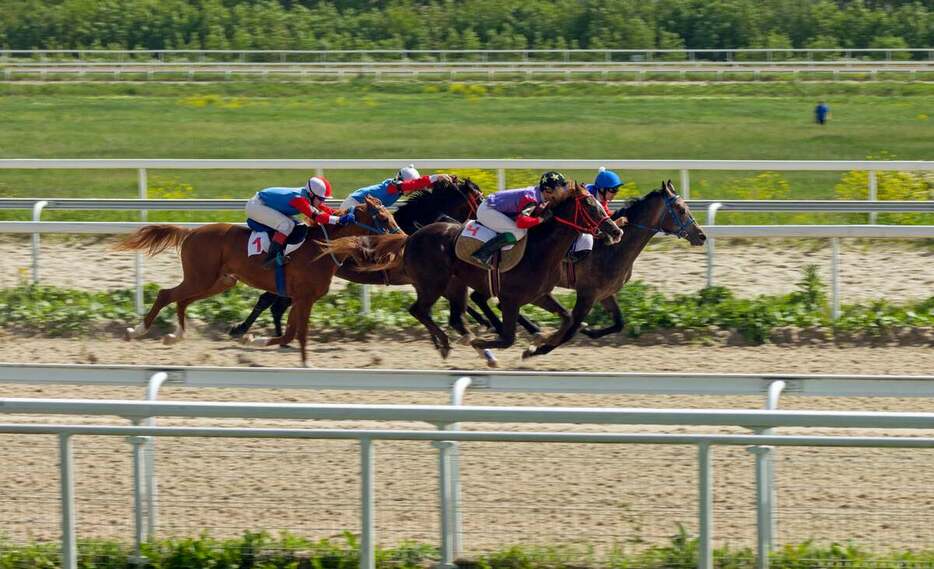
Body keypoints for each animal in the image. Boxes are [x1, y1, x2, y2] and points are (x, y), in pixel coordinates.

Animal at [117, 193, 398, 366]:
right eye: (384, 218)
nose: (402, 237)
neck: (321, 247)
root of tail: (191, 232)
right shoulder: (304, 297)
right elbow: (299, 333)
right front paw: (306, 361)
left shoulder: (298, 298)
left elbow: (290, 333)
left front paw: (254, 338)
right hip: (201, 278)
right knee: (166, 294)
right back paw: (138, 330)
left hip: (220, 281)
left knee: (181, 301)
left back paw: (175, 335)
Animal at [230, 178, 486, 338]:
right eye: (480, 197)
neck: (413, 229)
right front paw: (485, 321)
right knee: (268, 301)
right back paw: (242, 329)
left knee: (276, 305)